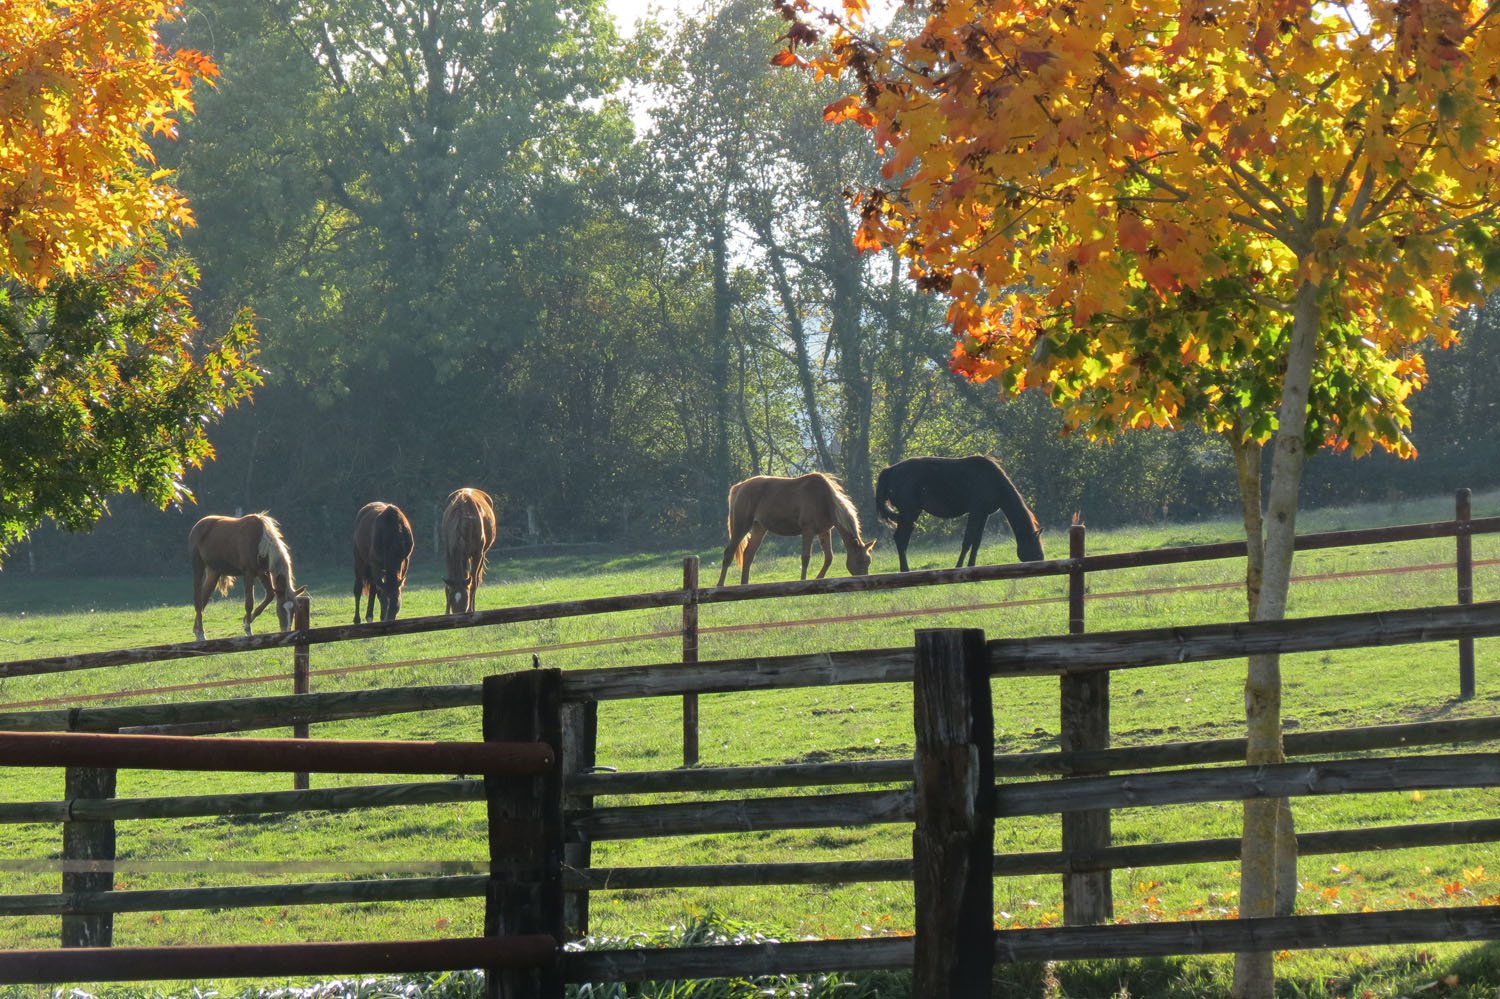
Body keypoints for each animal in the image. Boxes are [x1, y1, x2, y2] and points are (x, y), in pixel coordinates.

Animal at [188, 513, 301, 642]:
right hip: (198, 568)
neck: (260, 541)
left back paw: (196, 630)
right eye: (281, 609)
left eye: (294, 610)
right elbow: (249, 602)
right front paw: (248, 629)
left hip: (214, 572)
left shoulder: (262, 573)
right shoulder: (248, 573)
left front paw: (247, 619)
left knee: (203, 600)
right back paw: (201, 633)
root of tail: (198, 525)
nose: (286, 632)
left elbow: (270, 595)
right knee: (198, 601)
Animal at [716, 472, 877, 586]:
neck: (825, 499)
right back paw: (720, 585)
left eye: (868, 561)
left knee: (748, 554)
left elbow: (829, 557)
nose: (865, 582)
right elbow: (805, 558)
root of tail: (738, 487)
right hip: (741, 526)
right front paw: (804, 581)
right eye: (860, 561)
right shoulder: (808, 530)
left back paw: (745, 584)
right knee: (729, 553)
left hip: (759, 528)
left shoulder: (824, 531)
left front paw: (819, 578)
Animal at [874, 454, 1045, 572]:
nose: (1041, 560)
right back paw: (905, 570)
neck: (993, 480)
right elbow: (967, 540)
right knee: (900, 540)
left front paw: (972, 565)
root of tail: (889, 470)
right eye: (1035, 544)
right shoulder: (975, 512)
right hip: (909, 513)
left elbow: (976, 542)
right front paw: (959, 566)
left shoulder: (983, 514)